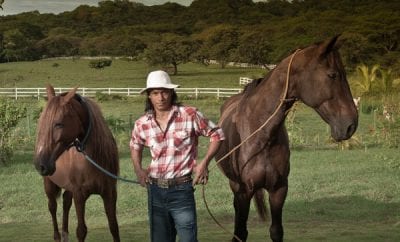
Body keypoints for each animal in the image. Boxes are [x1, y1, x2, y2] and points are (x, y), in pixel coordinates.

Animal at [33, 84, 119, 240]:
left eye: (59, 124)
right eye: (41, 122)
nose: (40, 164)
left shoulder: (110, 193)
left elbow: (114, 227)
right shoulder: (80, 195)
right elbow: (81, 230)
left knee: (66, 203)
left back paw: (65, 235)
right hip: (49, 185)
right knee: (52, 207)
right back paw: (57, 236)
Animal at [216, 36, 360, 242]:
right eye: (332, 75)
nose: (351, 124)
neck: (261, 136)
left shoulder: (279, 190)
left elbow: (276, 231)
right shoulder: (244, 192)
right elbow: (240, 233)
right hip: (235, 186)